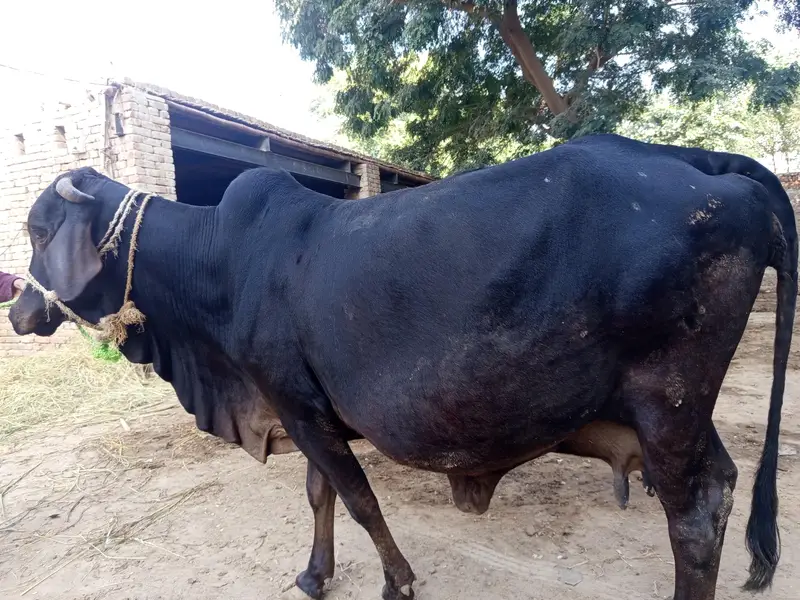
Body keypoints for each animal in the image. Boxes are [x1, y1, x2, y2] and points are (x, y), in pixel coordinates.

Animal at [8, 133, 795, 600]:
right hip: (680, 410)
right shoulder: (305, 407)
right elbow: (320, 494)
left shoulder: (295, 403)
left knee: (694, 513)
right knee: (724, 486)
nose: (17, 310)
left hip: (669, 401)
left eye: (40, 232)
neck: (219, 265)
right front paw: (315, 574)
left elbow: (358, 499)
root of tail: (697, 158)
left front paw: (398, 582)